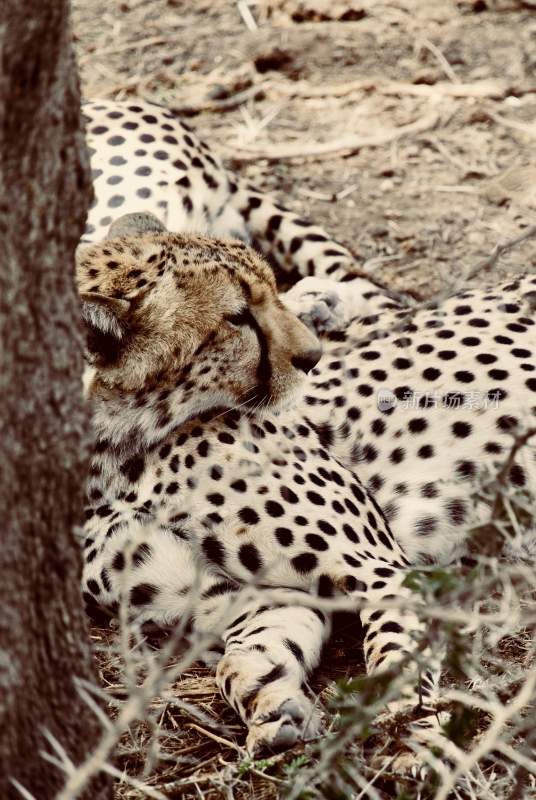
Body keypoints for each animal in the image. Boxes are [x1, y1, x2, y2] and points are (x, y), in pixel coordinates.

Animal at [80, 100, 536, 764]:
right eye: (237, 317)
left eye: (266, 293)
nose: (314, 357)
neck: (118, 454)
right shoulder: (250, 593)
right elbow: (246, 655)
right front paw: (274, 705)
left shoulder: (379, 564)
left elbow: (394, 651)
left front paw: (411, 733)